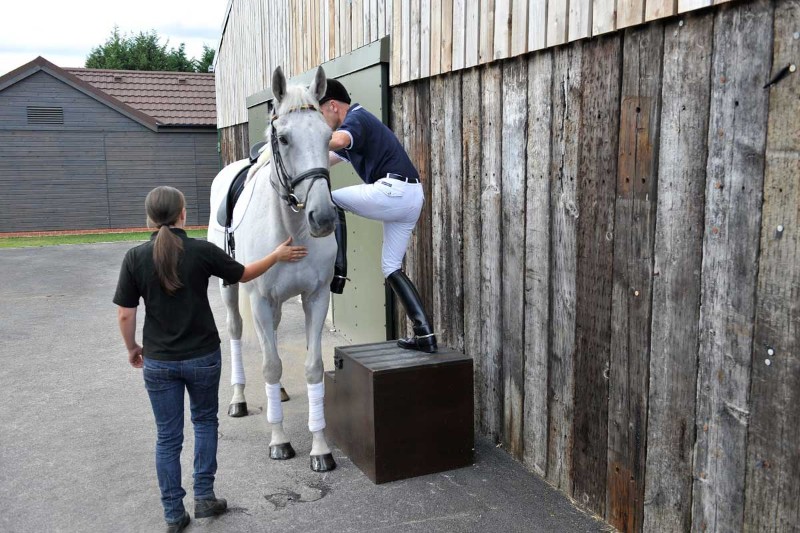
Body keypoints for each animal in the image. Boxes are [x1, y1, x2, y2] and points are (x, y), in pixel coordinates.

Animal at [206, 65, 338, 470]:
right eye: (283, 138)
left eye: (328, 135)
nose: (323, 218)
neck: (290, 229)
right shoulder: (260, 300)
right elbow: (269, 365)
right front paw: (279, 441)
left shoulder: (315, 298)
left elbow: (312, 367)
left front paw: (320, 448)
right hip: (232, 290)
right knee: (235, 332)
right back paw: (238, 399)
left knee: (274, 338)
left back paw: (276, 393)